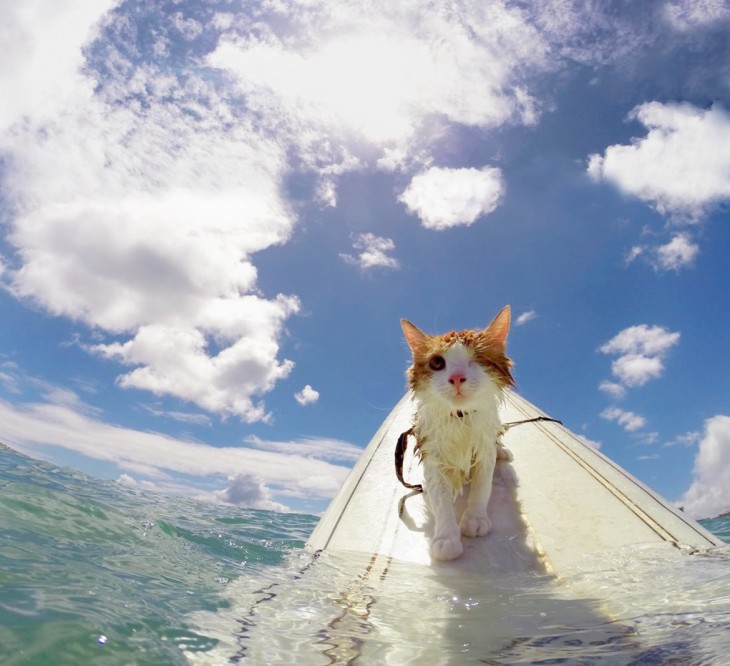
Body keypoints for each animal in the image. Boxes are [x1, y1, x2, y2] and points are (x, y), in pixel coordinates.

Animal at [398, 306, 512, 560]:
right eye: (437, 362)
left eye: (477, 358)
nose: (457, 377)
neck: (460, 417)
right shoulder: (431, 450)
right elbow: (440, 498)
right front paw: (445, 537)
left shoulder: (484, 447)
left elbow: (482, 485)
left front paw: (475, 519)